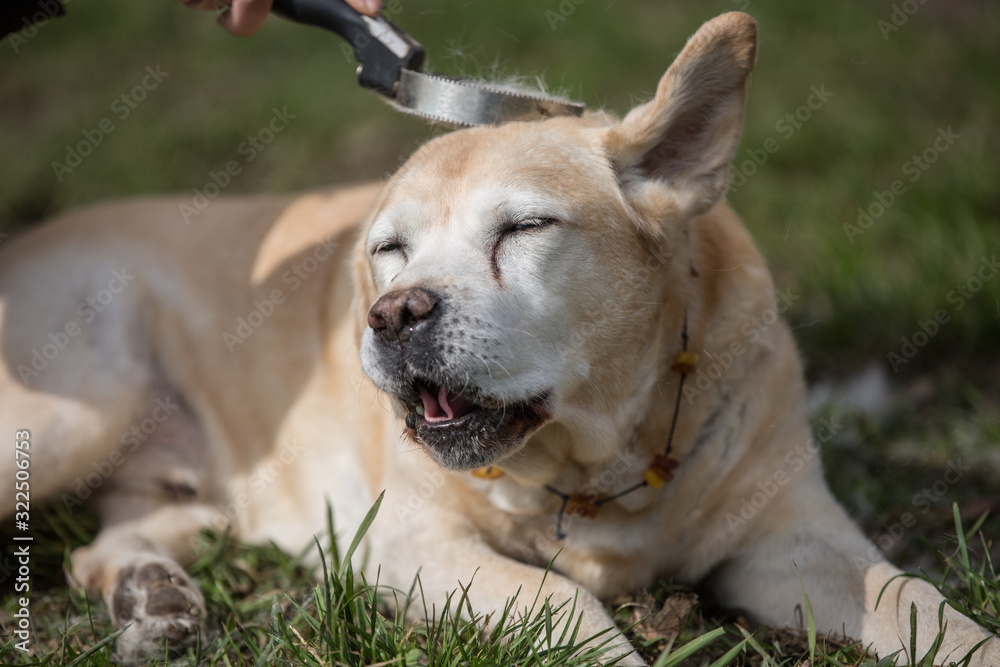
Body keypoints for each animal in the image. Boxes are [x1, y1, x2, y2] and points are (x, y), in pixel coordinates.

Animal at [1, 11, 1000, 667]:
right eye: (389, 250)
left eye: (523, 228)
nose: (394, 313)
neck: (598, 461)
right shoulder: (407, 543)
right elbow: (560, 597)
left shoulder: (794, 533)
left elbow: (914, 599)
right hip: (76, 413)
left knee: (107, 541)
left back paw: (154, 593)